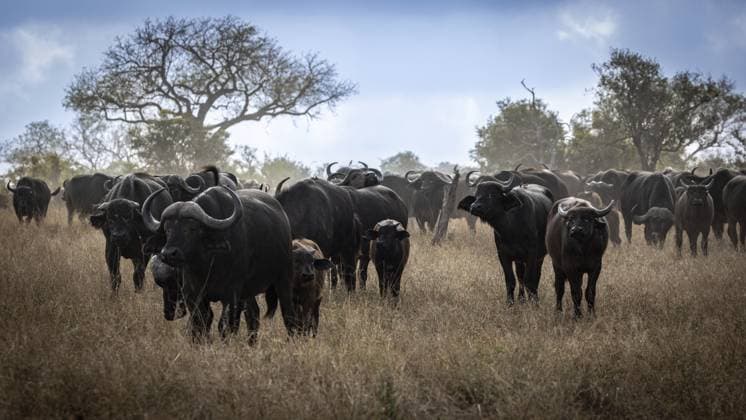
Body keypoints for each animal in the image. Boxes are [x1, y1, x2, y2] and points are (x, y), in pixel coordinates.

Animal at [458, 174, 553, 305]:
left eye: (491, 194)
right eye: (476, 195)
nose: (474, 207)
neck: (510, 228)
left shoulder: (532, 254)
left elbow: (529, 280)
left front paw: (534, 303)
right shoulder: (503, 254)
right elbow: (510, 280)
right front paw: (510, 303)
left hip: (539, 256)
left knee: (536, 276)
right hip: (519, 259)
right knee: (520, 275)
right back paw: (521, 299)